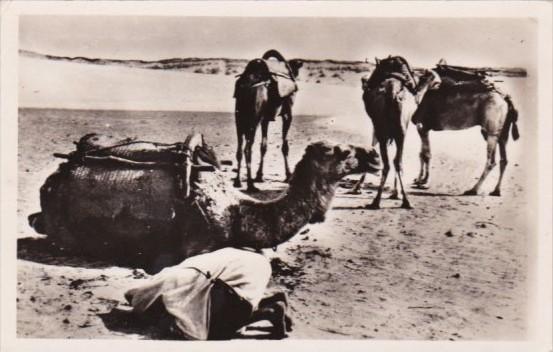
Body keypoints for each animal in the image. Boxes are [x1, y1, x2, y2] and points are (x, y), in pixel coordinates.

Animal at [233, 49, 302, 192]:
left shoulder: (265, 119)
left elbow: (263, 146)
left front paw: (259, 175)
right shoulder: (287, 114)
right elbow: (285, 146)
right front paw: (288, 175)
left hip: (239, 118)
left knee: (239, 147)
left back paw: (238, 181)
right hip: (253, 119)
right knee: (247, 148)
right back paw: (250, 185)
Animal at [362, 56, 440, 208]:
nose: (366, 83)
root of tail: (391, 93)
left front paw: (394, 193)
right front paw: (395, 194)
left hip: (387, 131)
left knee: (390, 163)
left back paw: (379, 201)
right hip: (396, 131)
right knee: (395, 162)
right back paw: (402, 201)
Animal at [412, 63, 520, 195]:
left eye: (424, 78)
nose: (418, 90)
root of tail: (506, 99)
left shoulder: (422, 127)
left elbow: (426, 154)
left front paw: (424, 182)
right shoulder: (423, 129)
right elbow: (421, 154)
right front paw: (418, 180)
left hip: (491, 131)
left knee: (491, 161)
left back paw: (473, 189)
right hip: (500, 132)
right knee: (503, 159)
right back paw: (496, 191)